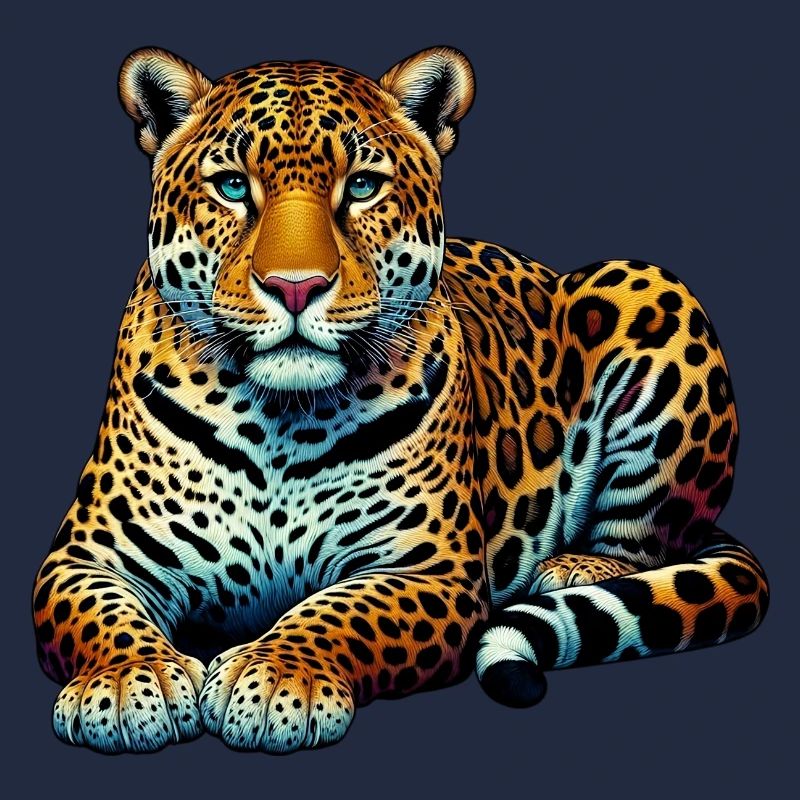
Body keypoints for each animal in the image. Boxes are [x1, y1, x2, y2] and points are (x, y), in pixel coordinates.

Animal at [32, 46, 769, 754]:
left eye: (362, 186)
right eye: (233, 186)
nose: (295, 287)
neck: (276, 419)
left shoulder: (428, 570)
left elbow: (343, 614)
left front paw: (277, 677)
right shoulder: (87, 556)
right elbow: (99, 616)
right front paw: (129, 683)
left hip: (645, 286)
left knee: (650, 537)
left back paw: (575, 568)